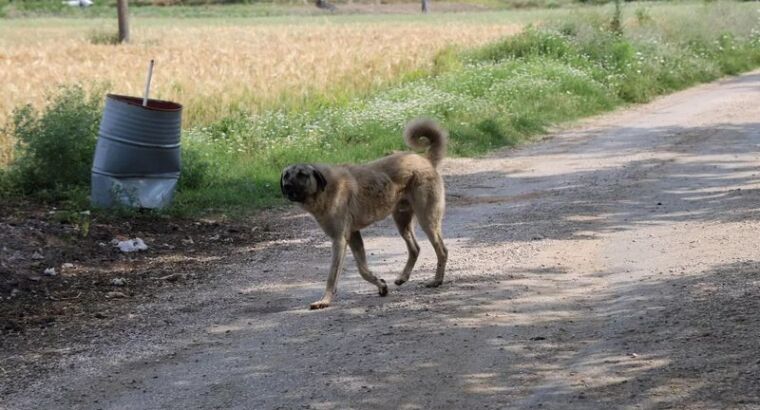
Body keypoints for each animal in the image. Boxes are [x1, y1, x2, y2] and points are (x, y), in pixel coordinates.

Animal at [280, 120, 448, 310]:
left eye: (302, 174)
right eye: (286, 175)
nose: (287, 187)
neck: (324, 190)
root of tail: (425, 159)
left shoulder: (339, 240)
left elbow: (333, 275)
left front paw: (325, 300)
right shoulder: (353, 235)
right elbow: (363, 269)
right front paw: (381, 285)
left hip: (427, 219)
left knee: (442, 250)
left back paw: (437, 281)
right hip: (402, 221)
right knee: (415, 248)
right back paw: (403, 278)